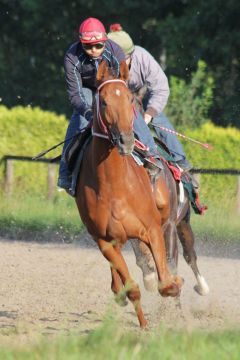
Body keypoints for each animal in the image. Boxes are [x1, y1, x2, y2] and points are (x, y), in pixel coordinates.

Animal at [75, 60, 184, 328]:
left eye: (128, 99)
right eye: (103, 101)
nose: (125, 140)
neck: (114, 187)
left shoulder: (153, 229)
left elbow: (166, 282)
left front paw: (174, 286)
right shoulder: (104, 241)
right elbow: (133, 287)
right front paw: (143, 325)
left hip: (167, 225)